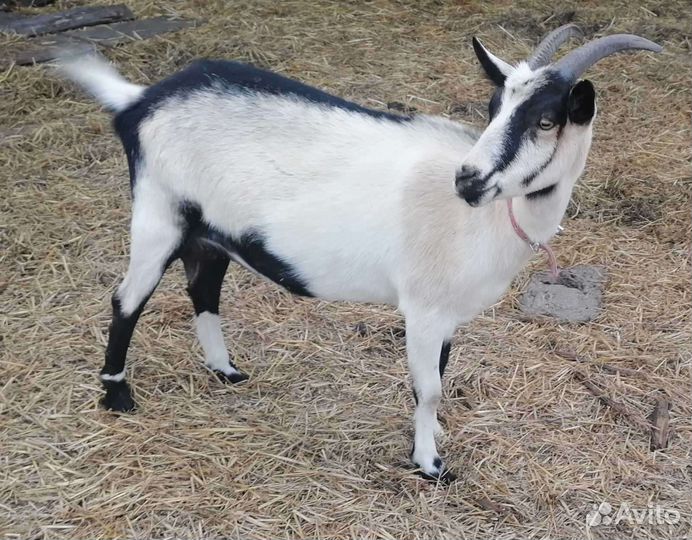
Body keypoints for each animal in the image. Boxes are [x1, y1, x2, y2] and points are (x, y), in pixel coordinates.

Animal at [58, 25, 661, 482]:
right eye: (493, 107)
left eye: (545, 119)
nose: (466, 180)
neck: (483, 222)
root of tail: (138, 101)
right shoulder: (422, 307)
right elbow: (429, 387)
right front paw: (430, 465)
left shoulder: (445, 314)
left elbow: (438, 376)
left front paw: (431, 440)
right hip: (157, 216)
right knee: (126, 300)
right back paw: (117, 397)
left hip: (211, 233)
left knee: (202, 289)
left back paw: (226, 371)